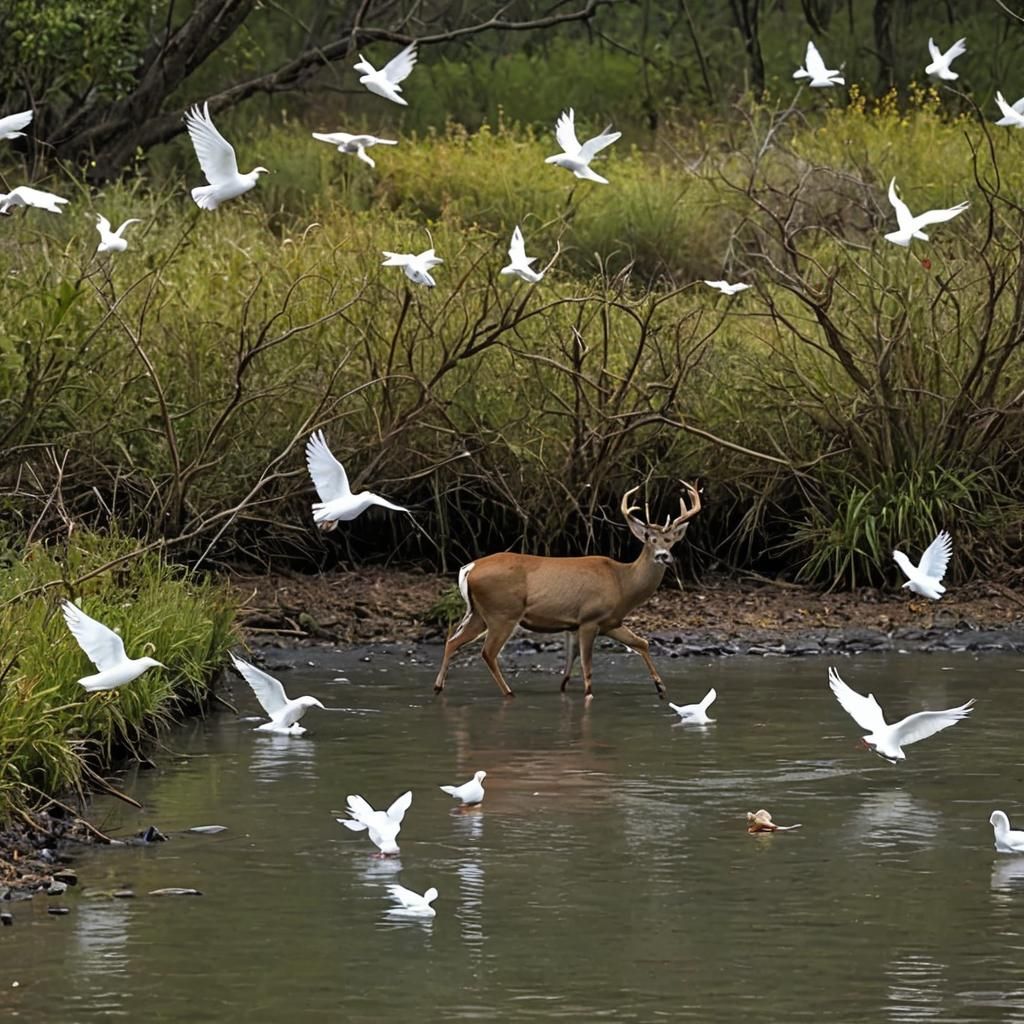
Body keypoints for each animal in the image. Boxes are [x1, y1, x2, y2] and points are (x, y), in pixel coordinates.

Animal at [432, 481, 701, 701]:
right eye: (648, 538)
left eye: (670, 540)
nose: (663, 556)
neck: (622, 583)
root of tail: (470, 568)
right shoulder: (590, 618)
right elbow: (587, 665)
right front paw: (589, 695)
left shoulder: (602, 622)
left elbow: (640, 643)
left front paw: (661, 688)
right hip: (502, 612)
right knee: (487, 652)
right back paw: (508, 692)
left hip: (479, 613)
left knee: (452, 641)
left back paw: (438, 687)